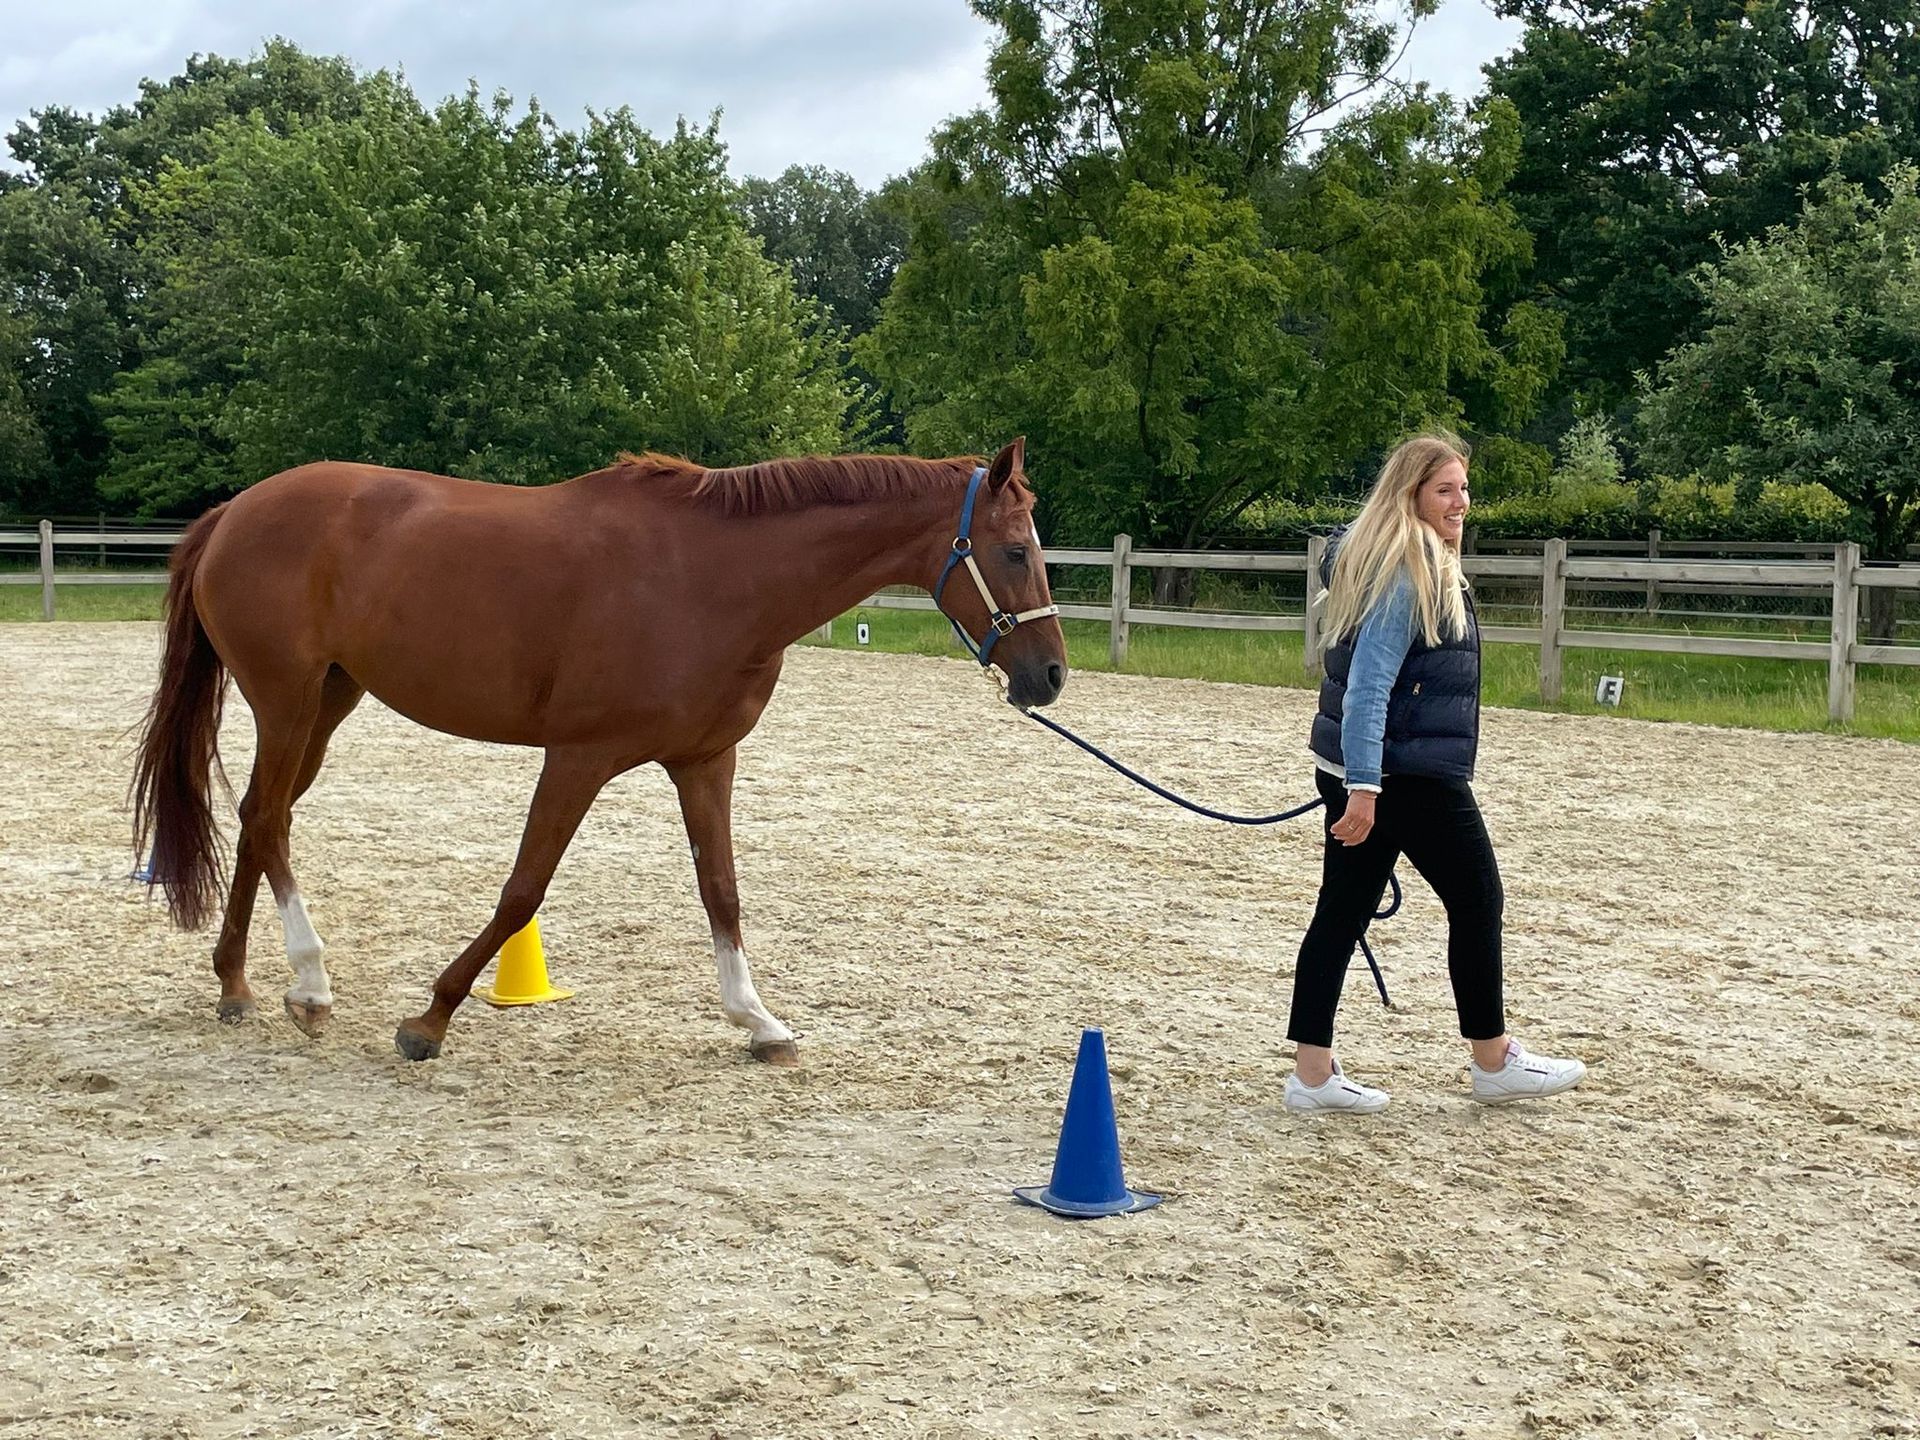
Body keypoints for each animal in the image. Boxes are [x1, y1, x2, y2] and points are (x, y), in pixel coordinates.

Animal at [131, 439, 1066, 1065]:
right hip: (287, 702)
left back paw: (239, 984)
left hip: (328, 701)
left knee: (261, 817)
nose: (1050, 675)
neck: (714, 577)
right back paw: (312, 984)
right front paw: (430, 1019)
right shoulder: (578, 758)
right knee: (269, 820)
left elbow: (722, 892)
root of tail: (235, 511)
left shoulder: (705, 761)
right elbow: (522, 891)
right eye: (1015, 550)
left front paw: (758, 1021)